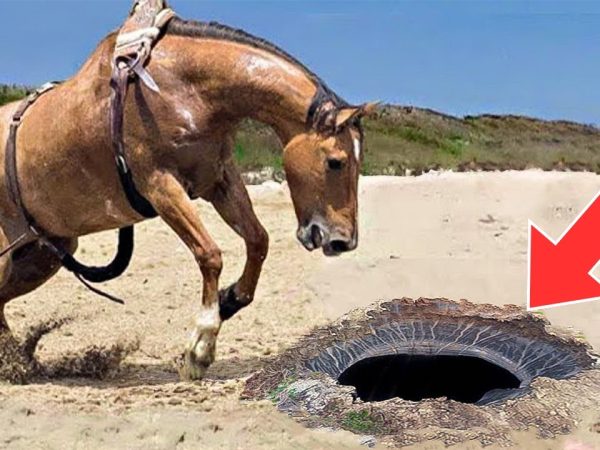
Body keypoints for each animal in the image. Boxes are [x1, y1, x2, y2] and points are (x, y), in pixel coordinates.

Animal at [0, 15, 376, 380]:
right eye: (336, 162)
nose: (343, 241)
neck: (185, 89)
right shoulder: (161, 185)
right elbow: (209, 254)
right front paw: (201, 345)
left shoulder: (219, 180)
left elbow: (258, 240)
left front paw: (230, 300)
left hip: (43, 255)